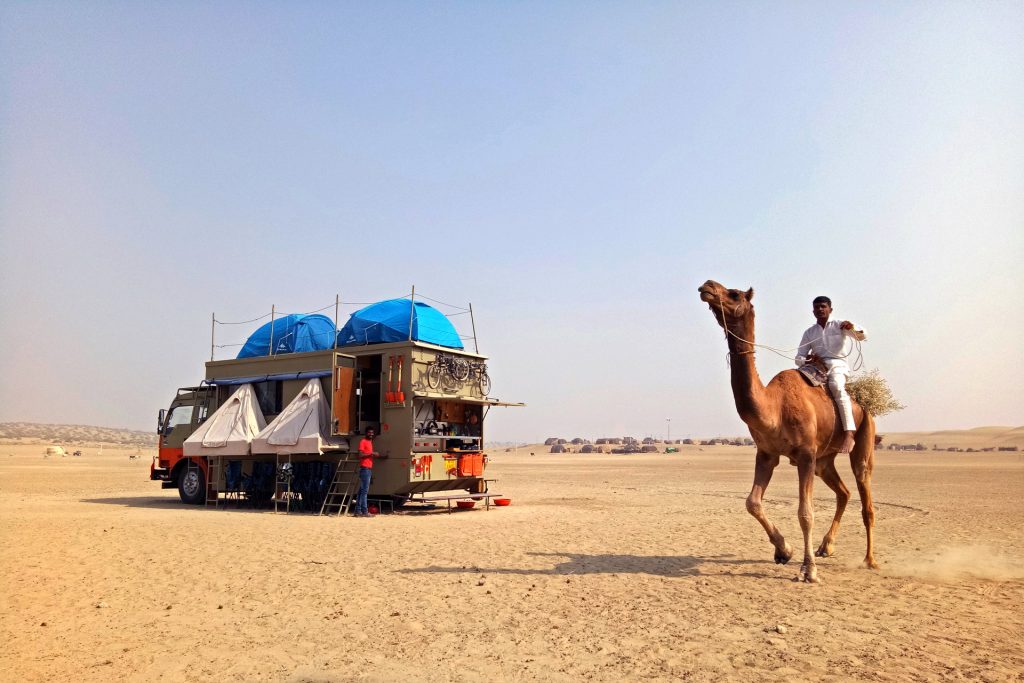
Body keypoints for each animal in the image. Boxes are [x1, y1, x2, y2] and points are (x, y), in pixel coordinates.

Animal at [697, 280, 877, 582]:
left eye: (734, 294)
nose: (707, 286)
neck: (774, 406)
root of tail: (864, 405)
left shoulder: (805, 454)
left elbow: (805, 513)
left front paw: (809, 570)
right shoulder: (767, 453)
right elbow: (752, 502)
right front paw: (784, 551)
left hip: (863, 436)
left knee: (865, 498)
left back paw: (869, 560)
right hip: (824, 460)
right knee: (843, 493)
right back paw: (826, 547)